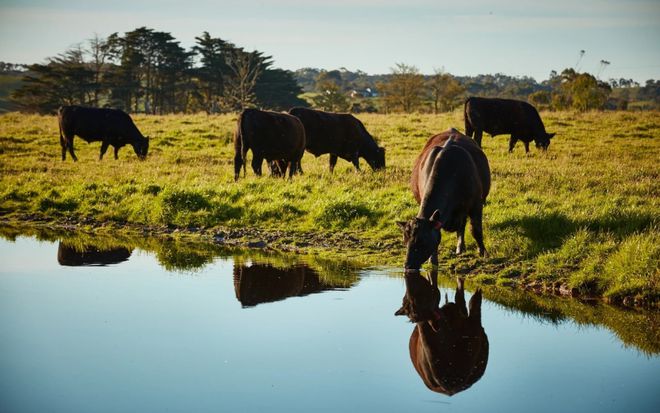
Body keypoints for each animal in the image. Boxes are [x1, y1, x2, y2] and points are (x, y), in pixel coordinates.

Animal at [398, 130, 490, 270]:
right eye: (405, 241)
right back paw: (460, 247)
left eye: (422, 241)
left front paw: (483, 252)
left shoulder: (476, 204)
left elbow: (476, 230)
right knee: (461, 226)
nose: (408, 265)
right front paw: (433, 261)